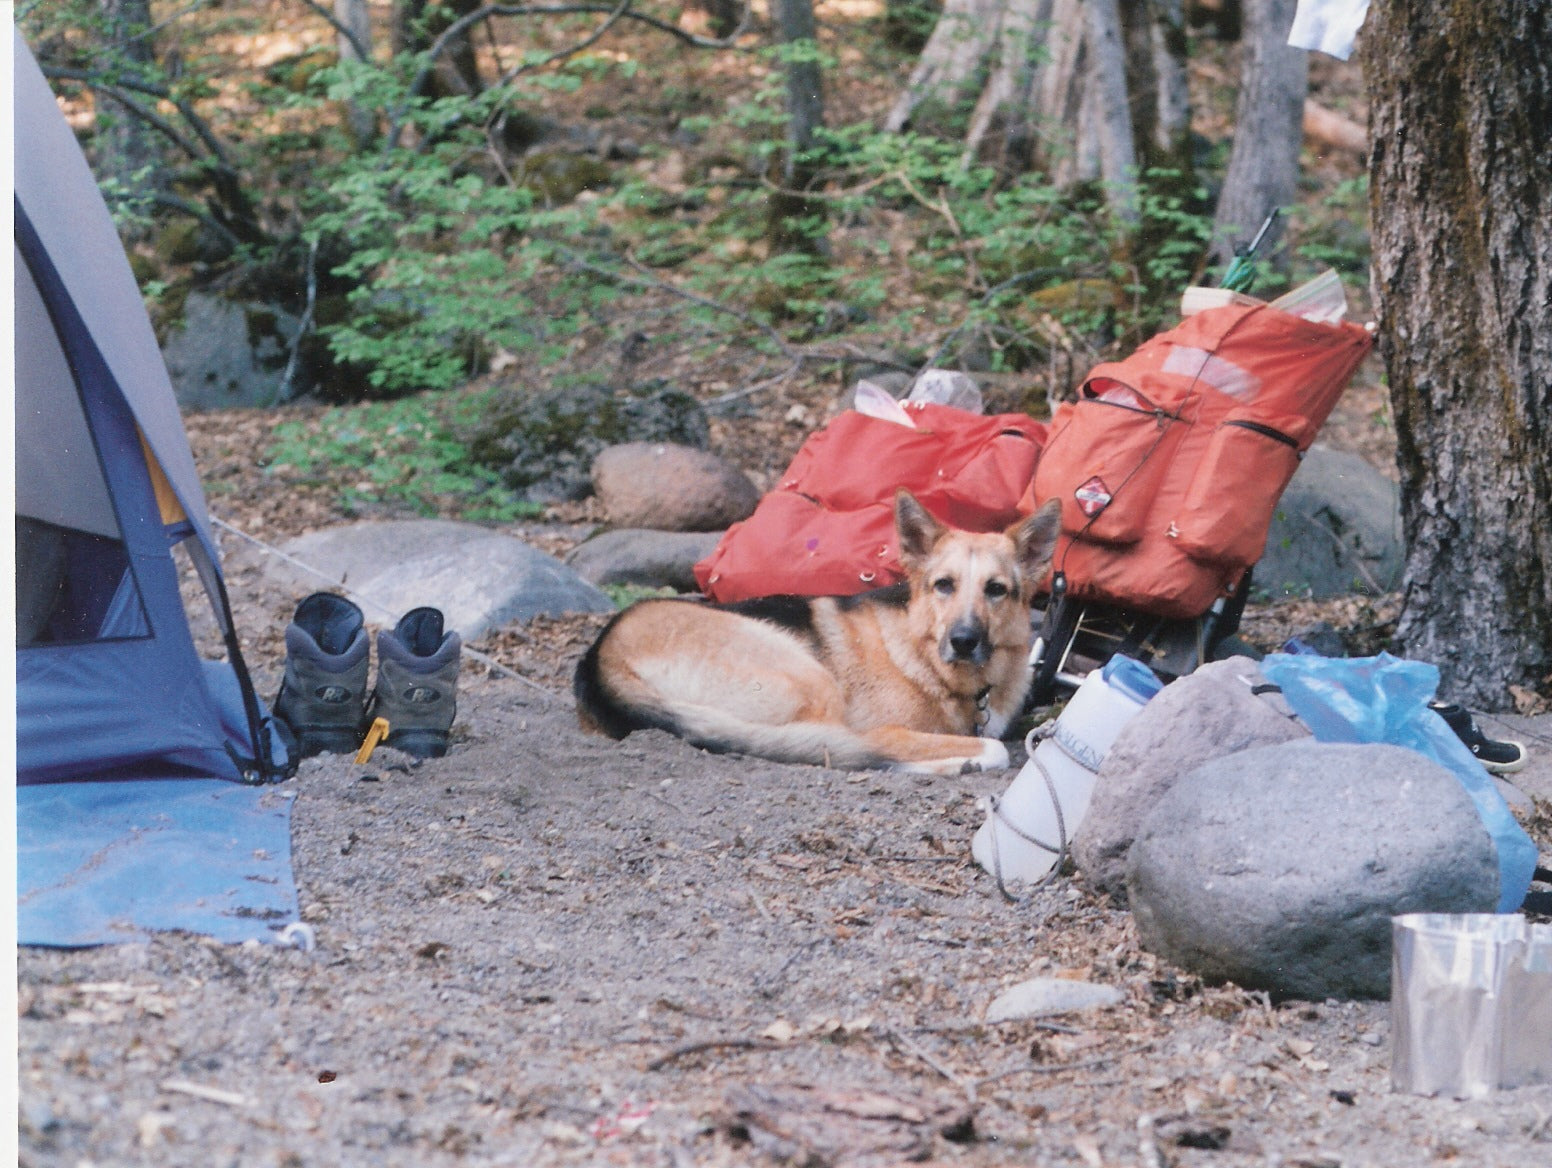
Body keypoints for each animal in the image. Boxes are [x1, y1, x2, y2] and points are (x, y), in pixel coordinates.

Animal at [574, 493, 1067, 775]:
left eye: (996, 590)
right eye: (943, 585)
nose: (964, 640)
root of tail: (601, 659)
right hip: (808, 676)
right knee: (851, 748)